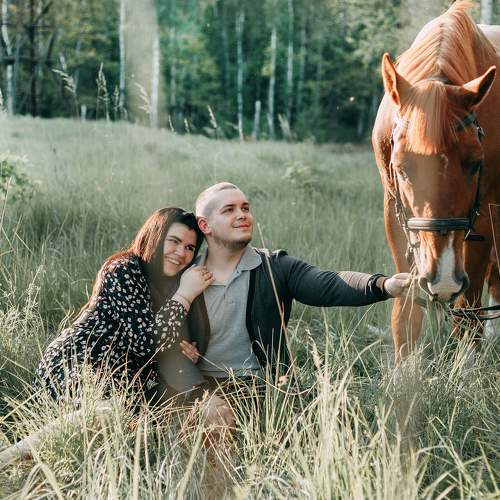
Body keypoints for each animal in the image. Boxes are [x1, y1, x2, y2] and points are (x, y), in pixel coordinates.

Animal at [372, 1, 500, 358]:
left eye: (475, 164)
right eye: (402, 168)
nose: (441, 281)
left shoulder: (484, 216)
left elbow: (469, 311)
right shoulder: (394, 211)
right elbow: (405, 311)